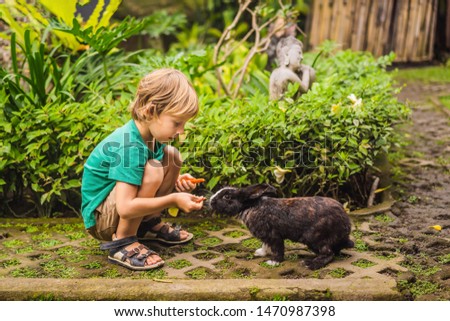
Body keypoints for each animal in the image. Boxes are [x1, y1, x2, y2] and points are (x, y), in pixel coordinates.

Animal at [209, 182, 354, 268]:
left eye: (227, 197)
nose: (211, 201)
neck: (249, 206)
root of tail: (345, 225)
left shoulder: (274, 235)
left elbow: (278, 249)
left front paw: (273, 262)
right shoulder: (266, 237)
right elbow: (265, 245)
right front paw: (261, 253)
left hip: (314, 238)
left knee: (329, 253)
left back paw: (309, 264)